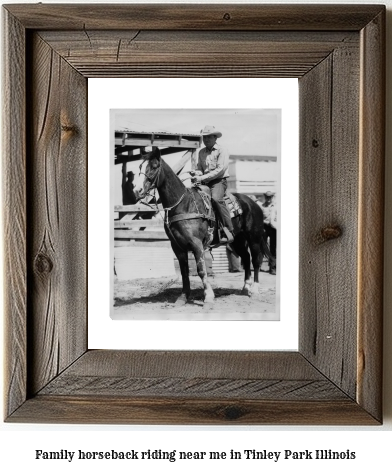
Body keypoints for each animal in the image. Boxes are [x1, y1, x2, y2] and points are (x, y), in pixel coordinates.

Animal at [133, 148, 264, 312]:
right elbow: (184, 272)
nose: (137, 190)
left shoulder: (196, 244)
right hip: (236, 240)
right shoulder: (177, 246)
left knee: (256, 260)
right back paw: (246, 287)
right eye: (139, 167)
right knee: (246, 258)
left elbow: (201, 270)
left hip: (254, 238)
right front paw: (183, 298)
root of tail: (253, 203)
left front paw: (208, 297)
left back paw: (255, 290)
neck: (183, 204)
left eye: (154, 166)